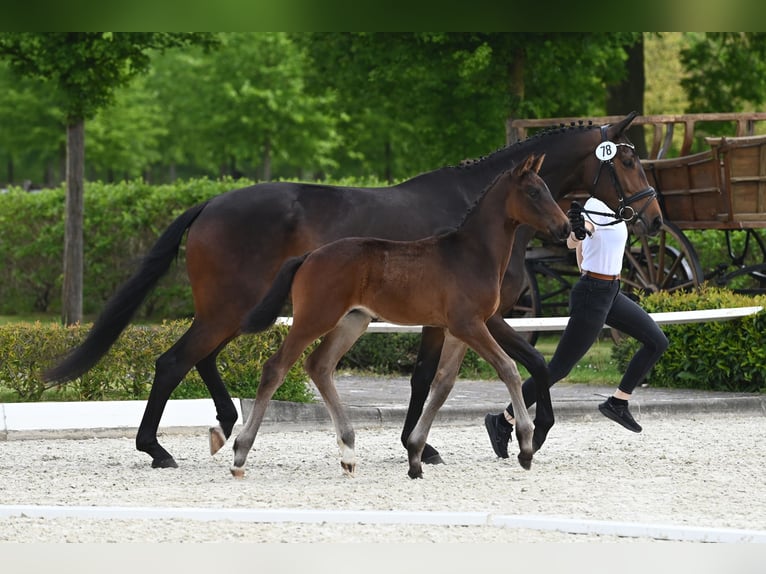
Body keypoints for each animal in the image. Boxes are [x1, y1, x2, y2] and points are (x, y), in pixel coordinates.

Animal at [234, 154, 568, 482]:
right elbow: (508, 369)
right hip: (314, 319)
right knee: (276, 368)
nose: (565, 228)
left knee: (319, 365)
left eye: (548, 189)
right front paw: (526, 446)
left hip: (353, 321)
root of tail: (308, 257)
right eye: (534, 192)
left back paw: (348, 453)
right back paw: (240, 453)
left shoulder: (459, 329)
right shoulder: (470, 325)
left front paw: (416, 456)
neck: (472, 254)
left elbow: (443, 385)